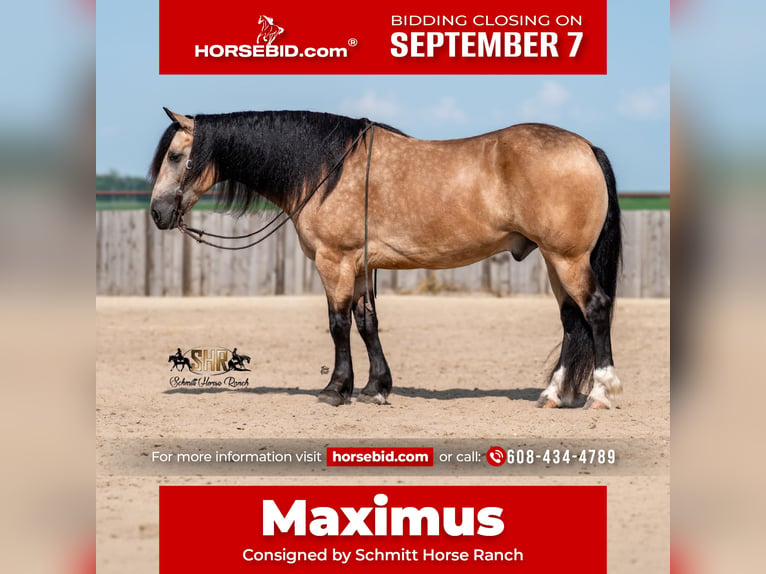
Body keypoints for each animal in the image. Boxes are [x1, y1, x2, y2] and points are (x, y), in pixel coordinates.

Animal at [149, 108, 622, 409]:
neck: (326, 168)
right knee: (571, 320)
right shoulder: (359, 265)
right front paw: (375, 388)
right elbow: (367, 324)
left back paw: (601, 392)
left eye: (175, 156)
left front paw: (335, 389)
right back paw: (554, 394)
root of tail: (586, 147)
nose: (157, 212)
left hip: (568, 257)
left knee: (596, 310)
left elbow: (338, 324)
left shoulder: (334, 261)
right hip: (556, 261)